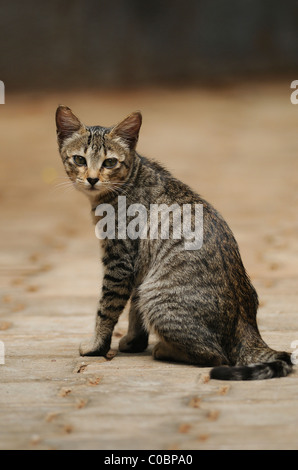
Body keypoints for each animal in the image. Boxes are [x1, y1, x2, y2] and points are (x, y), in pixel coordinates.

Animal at [54, 104, 292, 380]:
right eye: (79, 160)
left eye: (110, 162)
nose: (92, 179)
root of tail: (248, 325)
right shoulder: (139, 268)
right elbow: (134, 310)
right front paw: (134, 342)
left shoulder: (120, 263)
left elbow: (106, 309)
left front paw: (96, 346)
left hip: (157, 296)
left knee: (215, 356)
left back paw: (165, 350)